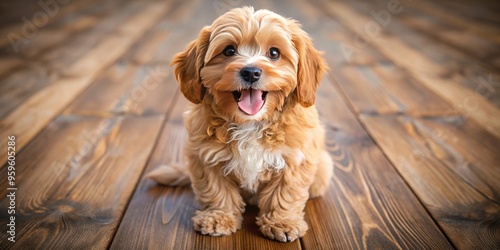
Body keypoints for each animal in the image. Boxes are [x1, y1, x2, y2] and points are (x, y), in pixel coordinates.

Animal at [150, 6, 334, 242]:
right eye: (229, 51)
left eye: (274, 53)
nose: (251, 72)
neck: (250, 124)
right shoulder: (205, 156)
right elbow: (217, 190)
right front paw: (219, 217)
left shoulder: (294, 159)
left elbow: (285, 193)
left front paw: (282, 222)